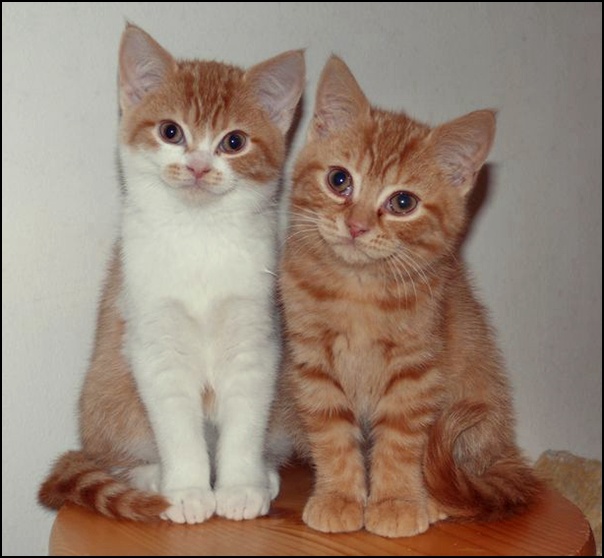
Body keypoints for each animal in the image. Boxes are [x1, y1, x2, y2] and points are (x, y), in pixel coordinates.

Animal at [38, 23, 305, 524]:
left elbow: (245, 422)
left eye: (234, 142)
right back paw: (150, 476)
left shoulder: (256, 342)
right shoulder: (154, 344)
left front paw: (240, 486)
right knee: (116, 457)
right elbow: (177, 428)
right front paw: (186, 490)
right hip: (107, 397)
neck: (198, 237)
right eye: (170, 131)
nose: (198, 165)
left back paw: (266, 473)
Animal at [271, 55, 542, 538]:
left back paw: (431, 499)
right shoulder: (312, 362)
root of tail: (504, 450)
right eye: (339, 180)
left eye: (403, 203)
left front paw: (396, 500)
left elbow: (399, 441)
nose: (357, 225)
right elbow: (332, 434)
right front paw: (341, 496)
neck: (358, 289)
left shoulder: (415, 370)